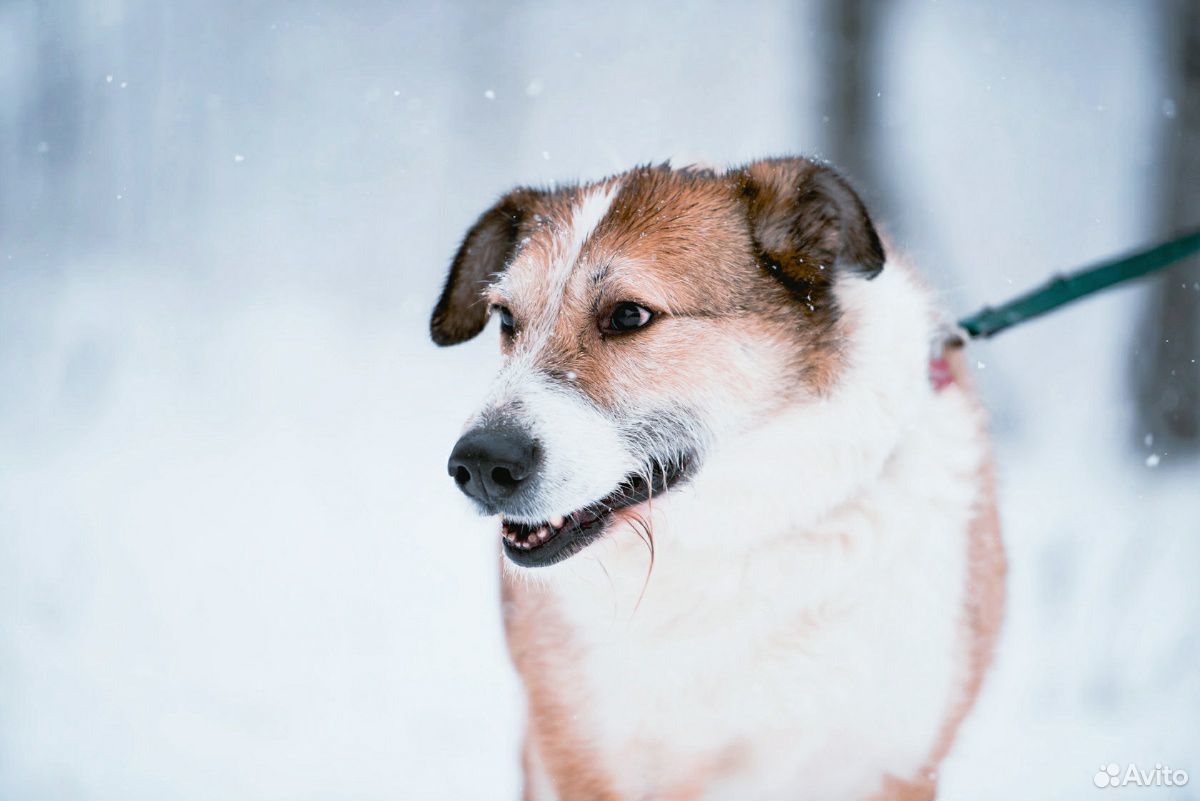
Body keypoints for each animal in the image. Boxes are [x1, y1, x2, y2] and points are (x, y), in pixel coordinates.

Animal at [429, 158, 1003, 801]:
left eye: (629, 315)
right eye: (507, 319)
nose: (479, 465)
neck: (733, 542)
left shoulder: (894, 761)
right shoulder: (593, 757)